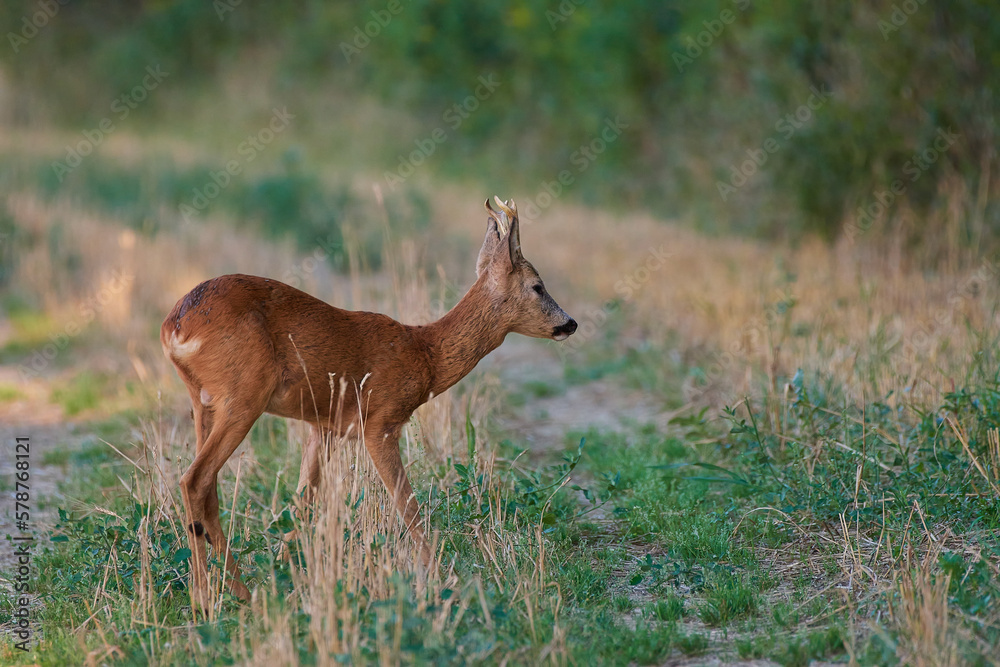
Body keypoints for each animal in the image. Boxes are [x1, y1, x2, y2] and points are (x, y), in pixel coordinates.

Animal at [160, 196, 576, 608]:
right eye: (538, 286)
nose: (570, 323)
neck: (425, 354)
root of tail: (175, 327)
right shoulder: (381, 420)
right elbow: (407, 503)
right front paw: (443, 576)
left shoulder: (324, 427)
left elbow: (305, 500)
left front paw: (284, 569)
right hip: (245, 395)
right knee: (195, 479)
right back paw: (211, 597)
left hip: (204, 401)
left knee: (208, 488)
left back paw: (231, 590)